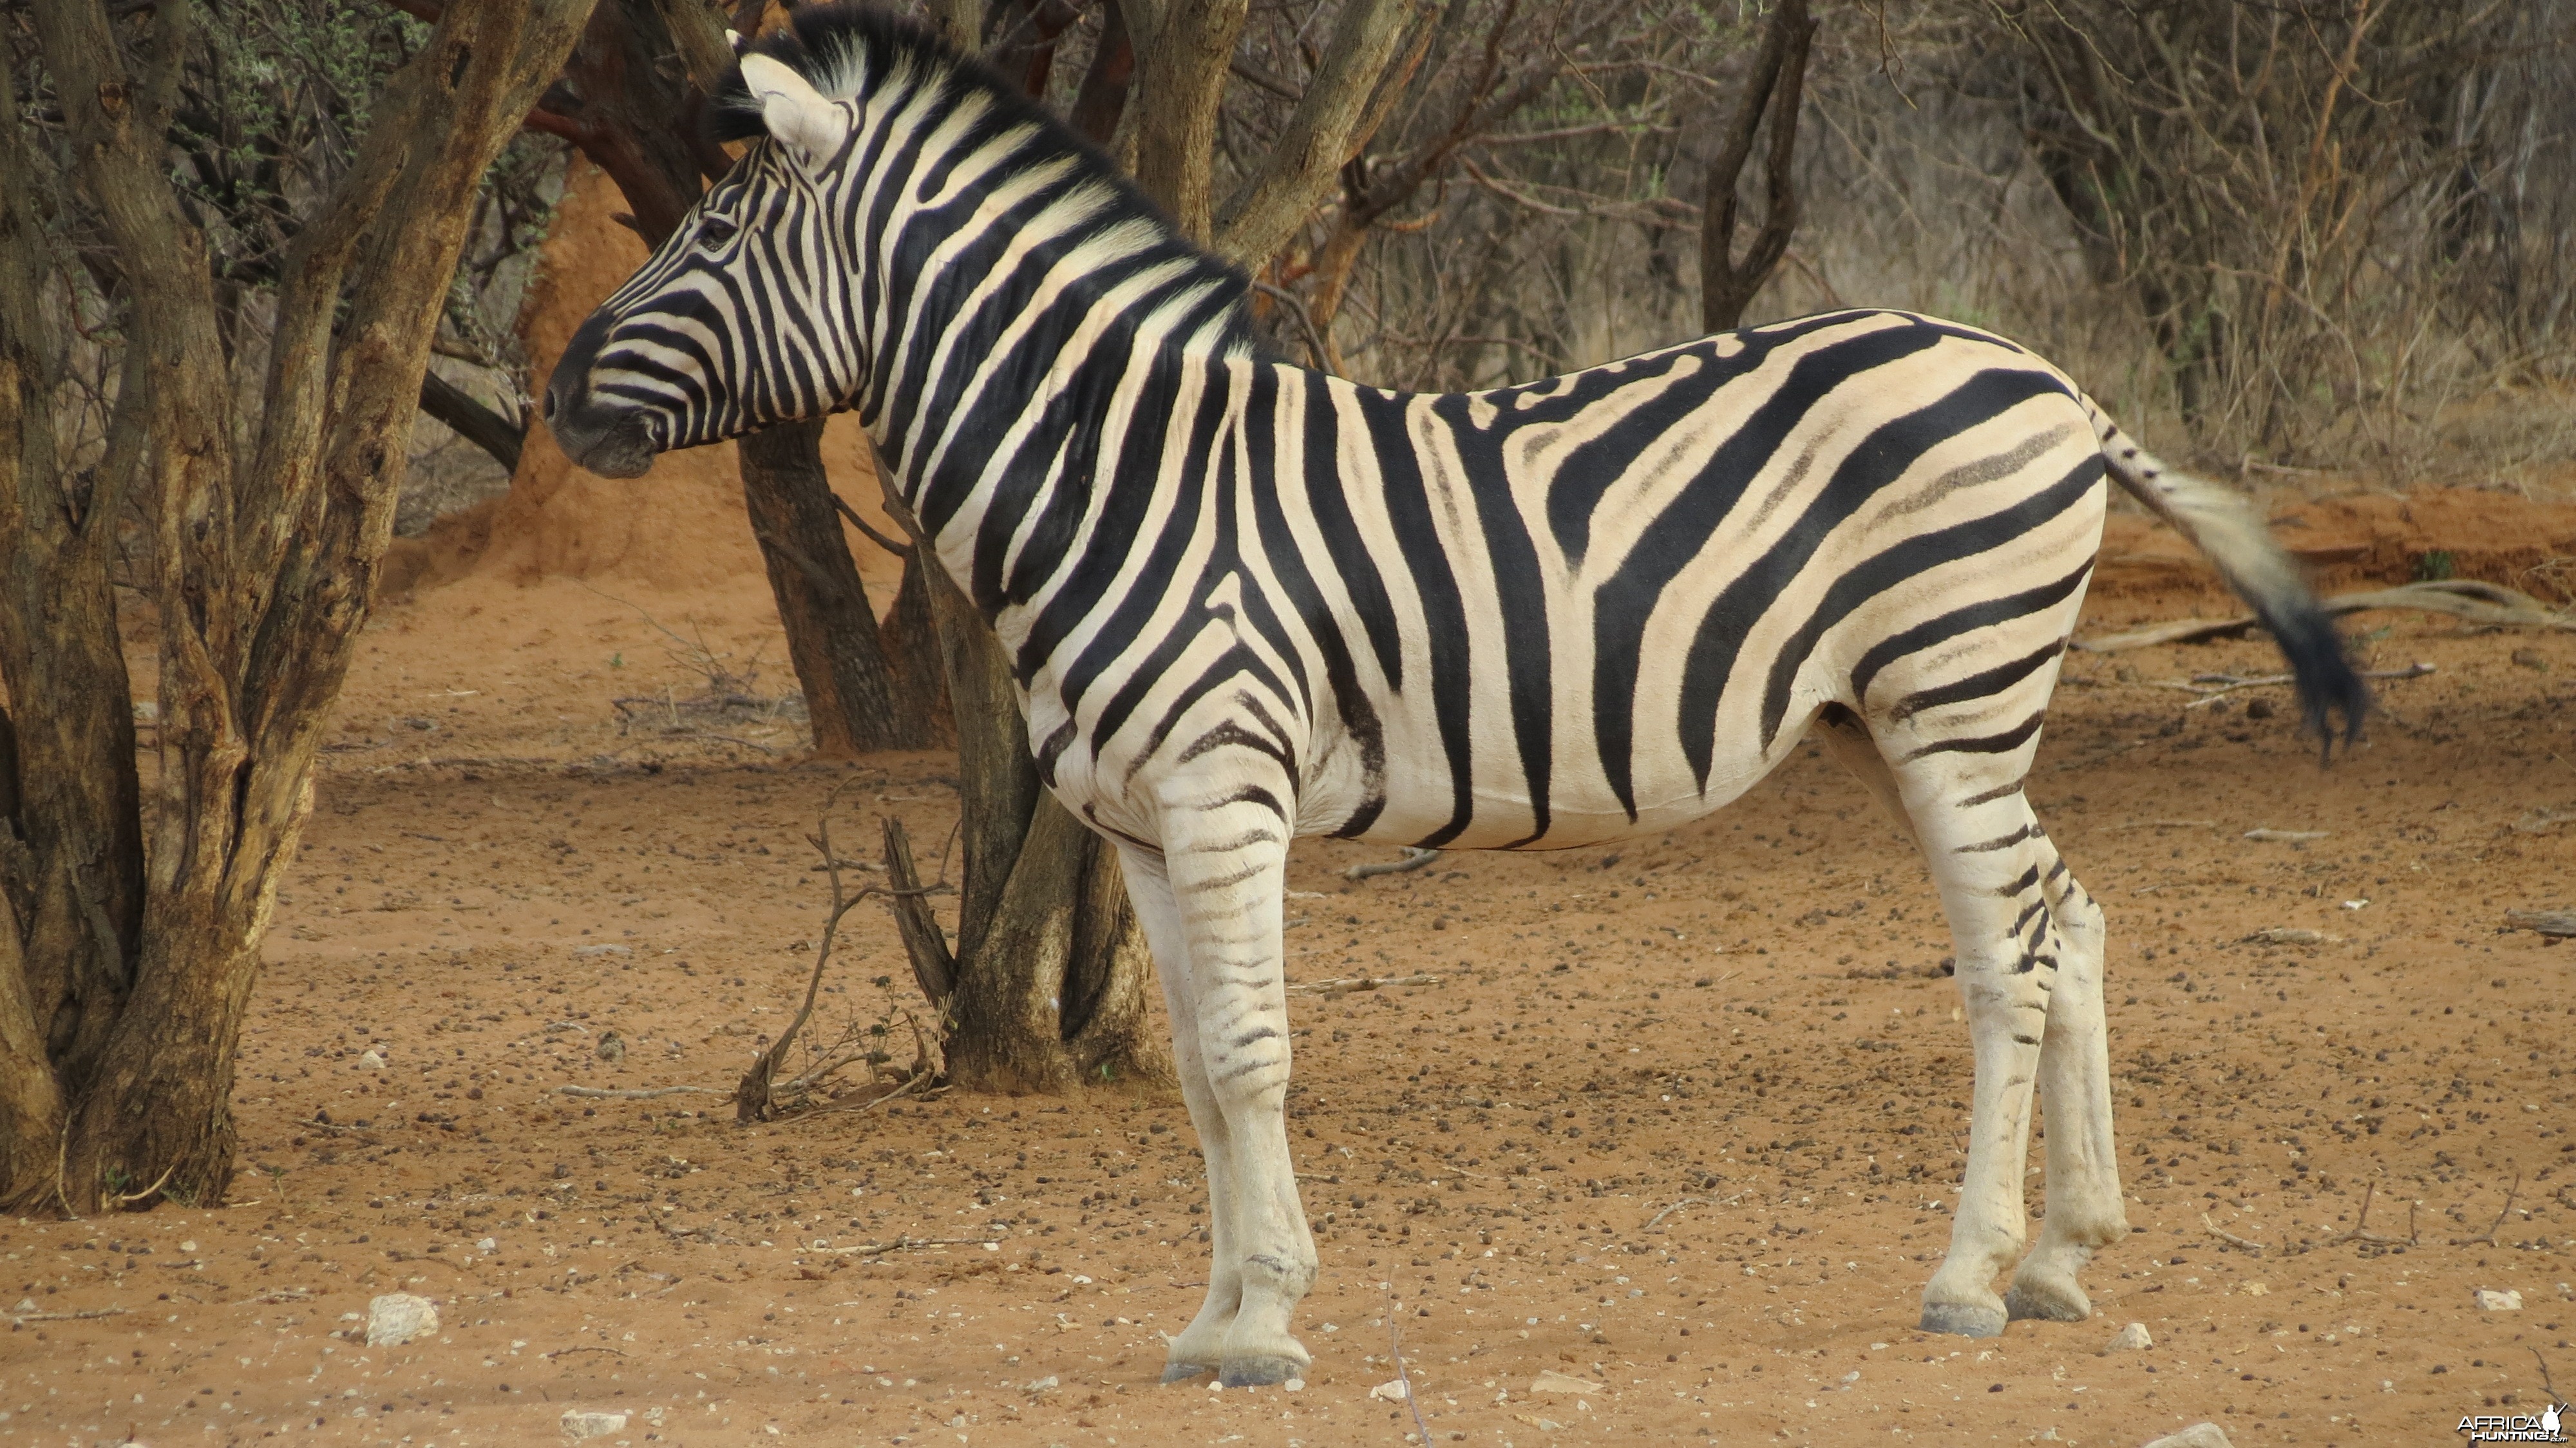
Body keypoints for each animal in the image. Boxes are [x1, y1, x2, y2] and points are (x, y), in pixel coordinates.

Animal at [538, 11, 2360, 1391]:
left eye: (711, 234)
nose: (556, 397)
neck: (1115, 473)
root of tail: (2045, 378)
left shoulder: (1222, 787)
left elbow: (1251, 1054)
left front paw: (1265, 1320)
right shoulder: (1135, 823)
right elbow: (1192, 1066)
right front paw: (1211, 1314)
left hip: (1950, 696)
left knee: (2006, 957)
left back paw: (1971, 1270)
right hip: (1910, 713)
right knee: (2073, 915)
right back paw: (2061, 1253)